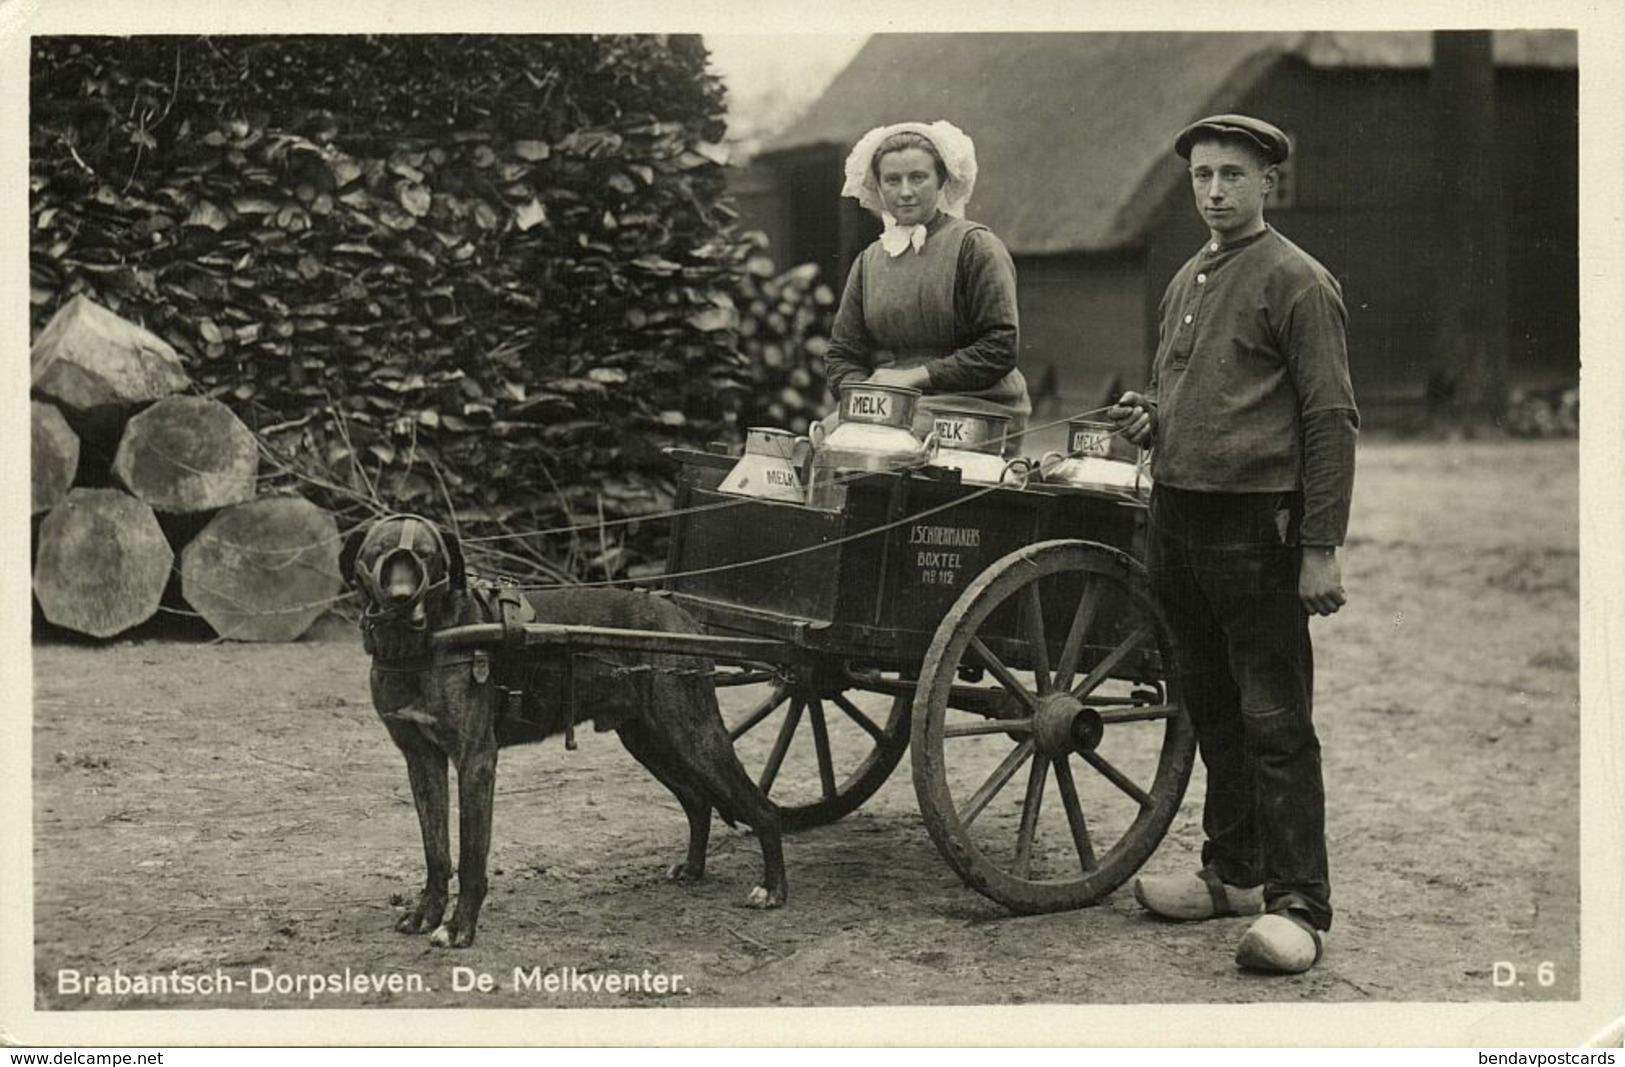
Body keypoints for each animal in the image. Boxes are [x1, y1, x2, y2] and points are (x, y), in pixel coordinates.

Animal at [338, 513, 786, 941]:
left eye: (427, 556)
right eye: (378, 553)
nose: (400, 599)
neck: (424, 641)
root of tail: (683, 617)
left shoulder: (475, 761)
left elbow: (470, 857)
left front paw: (460, 926)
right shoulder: (421, 759)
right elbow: (437, 851)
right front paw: (426, 914)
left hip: (694, 734)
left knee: (762, 809)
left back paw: (773, 889)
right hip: (650, 739)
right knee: (697, 800)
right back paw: (693, 868)